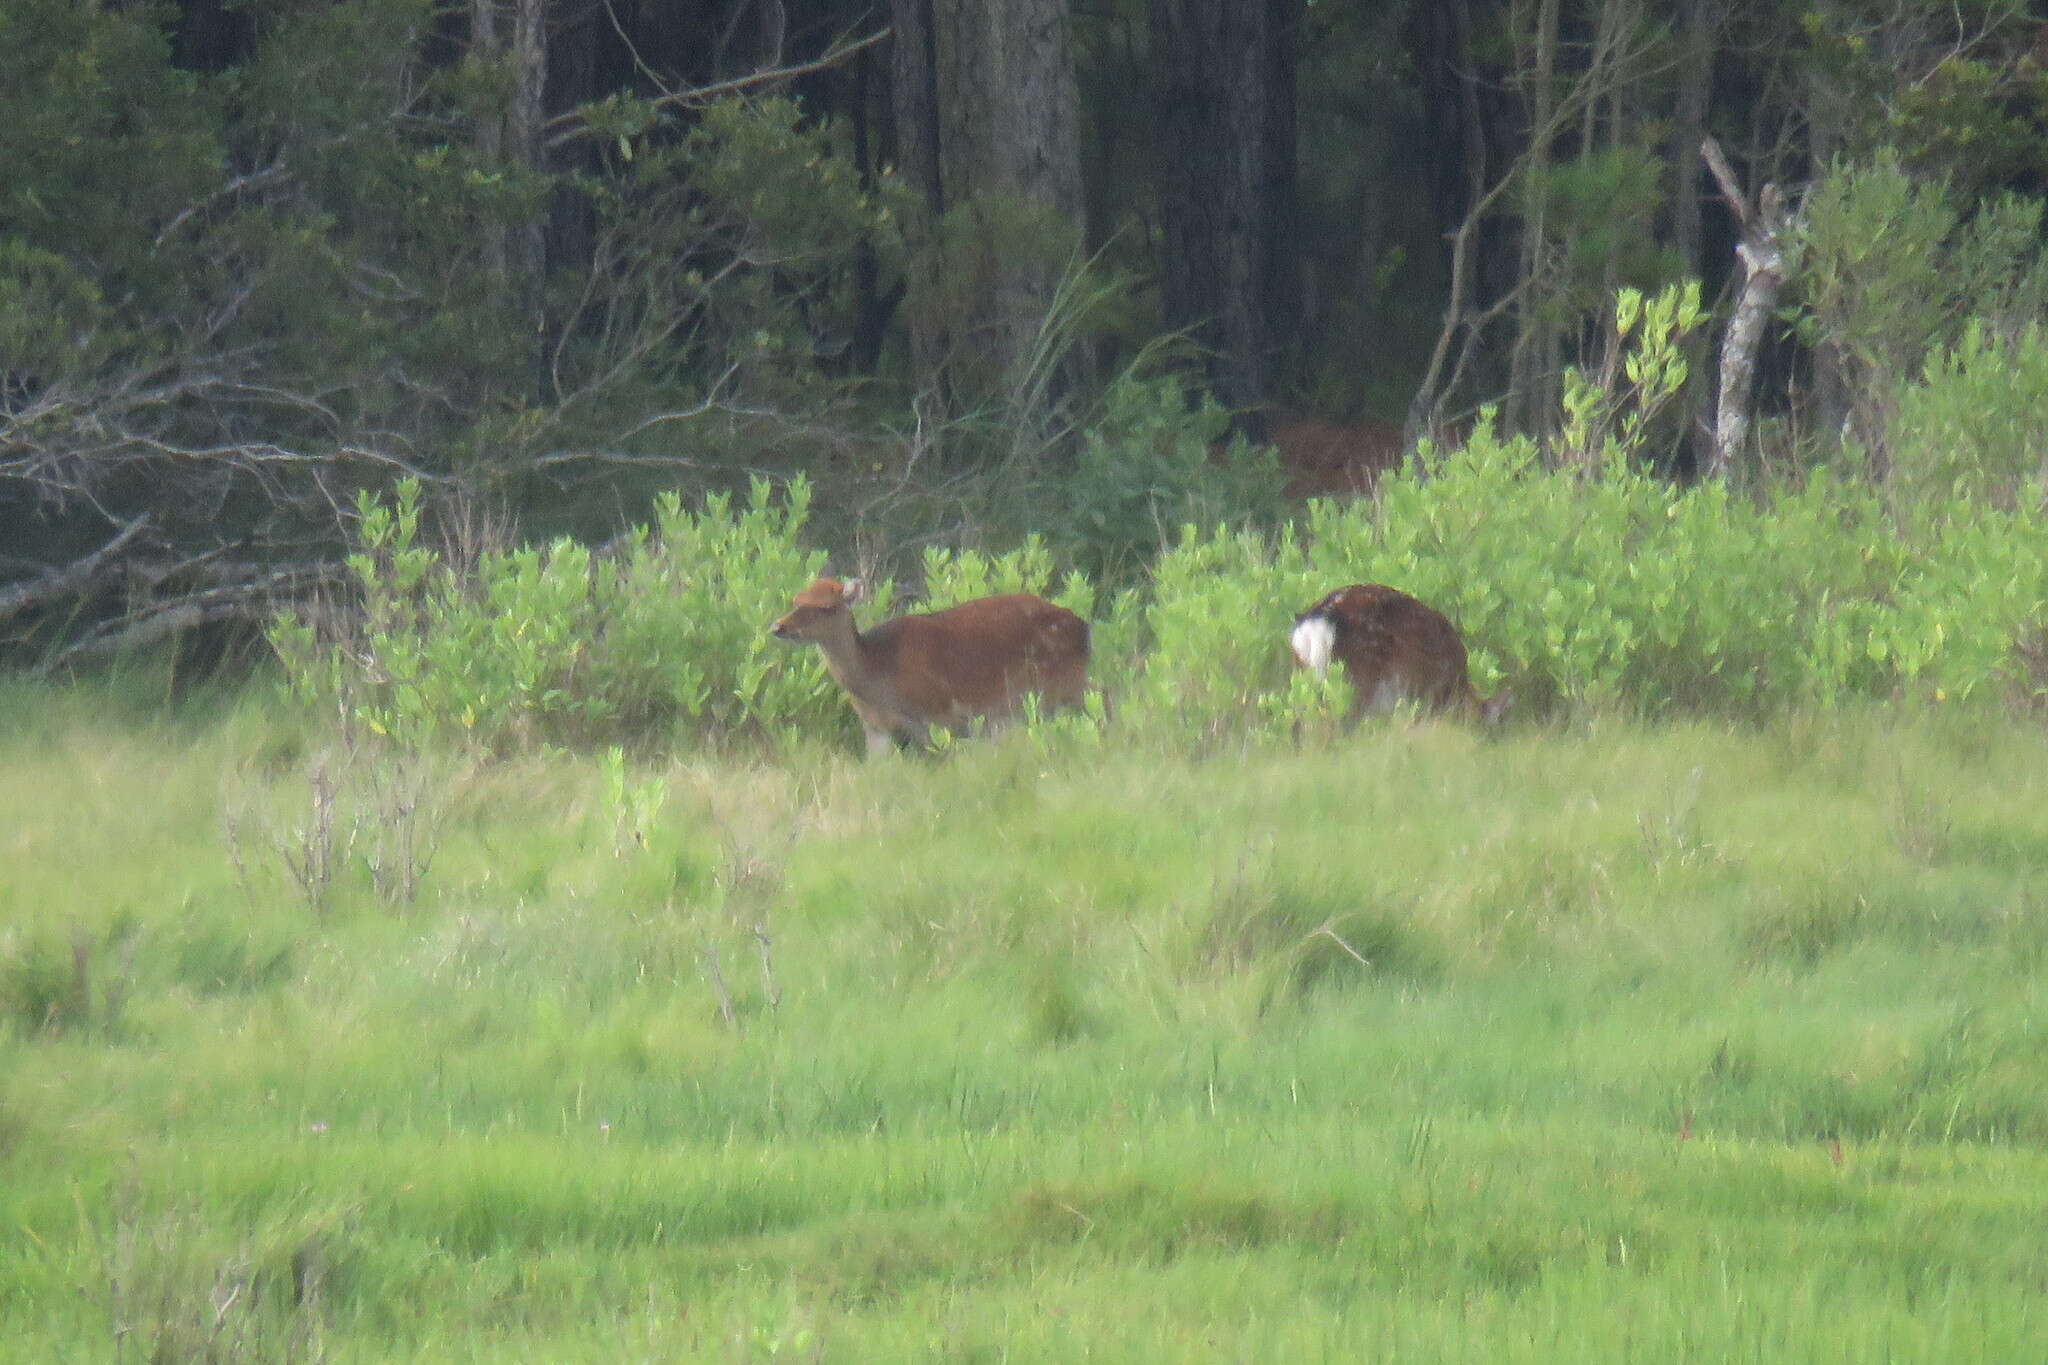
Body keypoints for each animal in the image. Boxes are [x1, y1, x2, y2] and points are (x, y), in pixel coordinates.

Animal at [770, 573, 1089, 753]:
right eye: (796, 600)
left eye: (826, 607)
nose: (778, 627)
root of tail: (1084, 627)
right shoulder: (874, 727)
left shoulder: (940, 714)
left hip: (1064, 688)